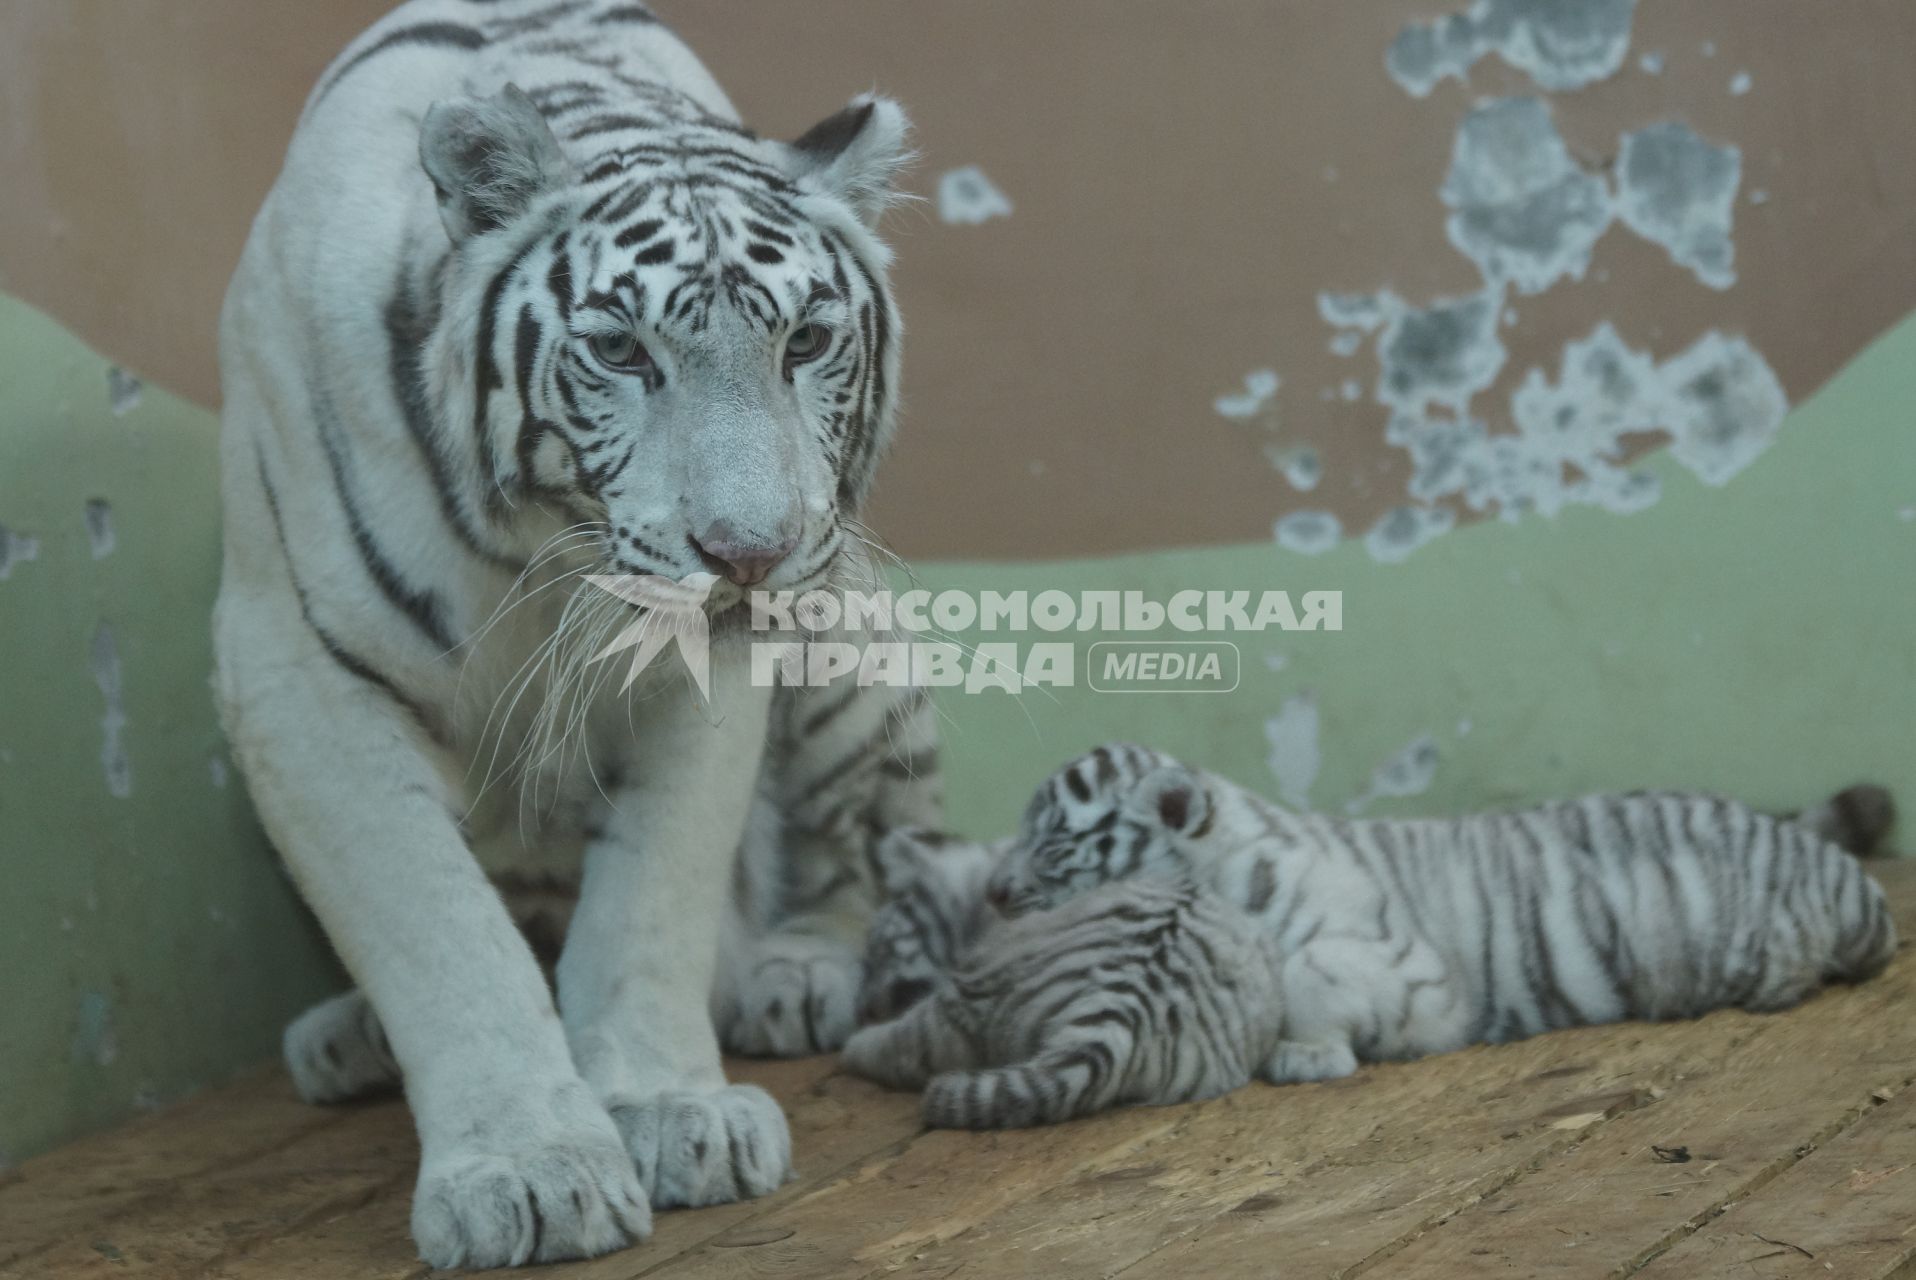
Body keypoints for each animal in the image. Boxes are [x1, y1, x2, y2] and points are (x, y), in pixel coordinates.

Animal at [217, 0, 935, 1272]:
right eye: (619, 351)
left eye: (804, 343)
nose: (747, 552)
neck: (547, 551)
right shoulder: (299, 676)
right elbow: (437, 926)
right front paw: (529, 1165)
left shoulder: (716, 666)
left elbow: (654, 897)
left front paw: (667, 1108)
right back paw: (352, 1037)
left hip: (854, 645)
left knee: (859, 850)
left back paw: (791, 969)